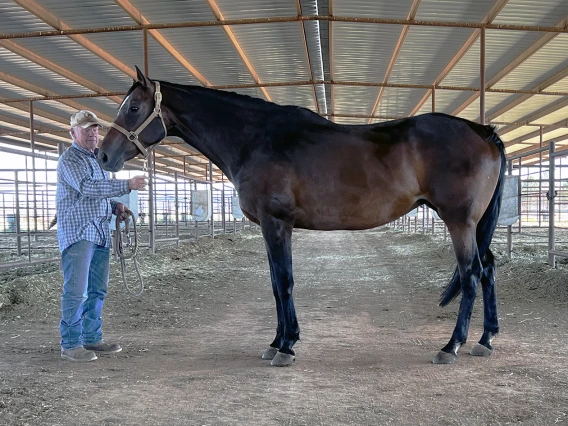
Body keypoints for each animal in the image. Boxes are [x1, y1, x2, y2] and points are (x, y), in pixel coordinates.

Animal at [97, 66, 506, 366]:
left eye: (132, 108)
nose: (103, 156)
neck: (255, 139)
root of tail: (482, 131)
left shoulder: (276, 223)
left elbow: (284, 282)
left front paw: (286, 346)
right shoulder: (275, 227)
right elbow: (277, 285)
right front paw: (278, 341)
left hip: (459, 222)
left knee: (471, 275)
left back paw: (451, 347)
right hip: (473, 226)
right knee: (487, 269)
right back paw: (485, 340)